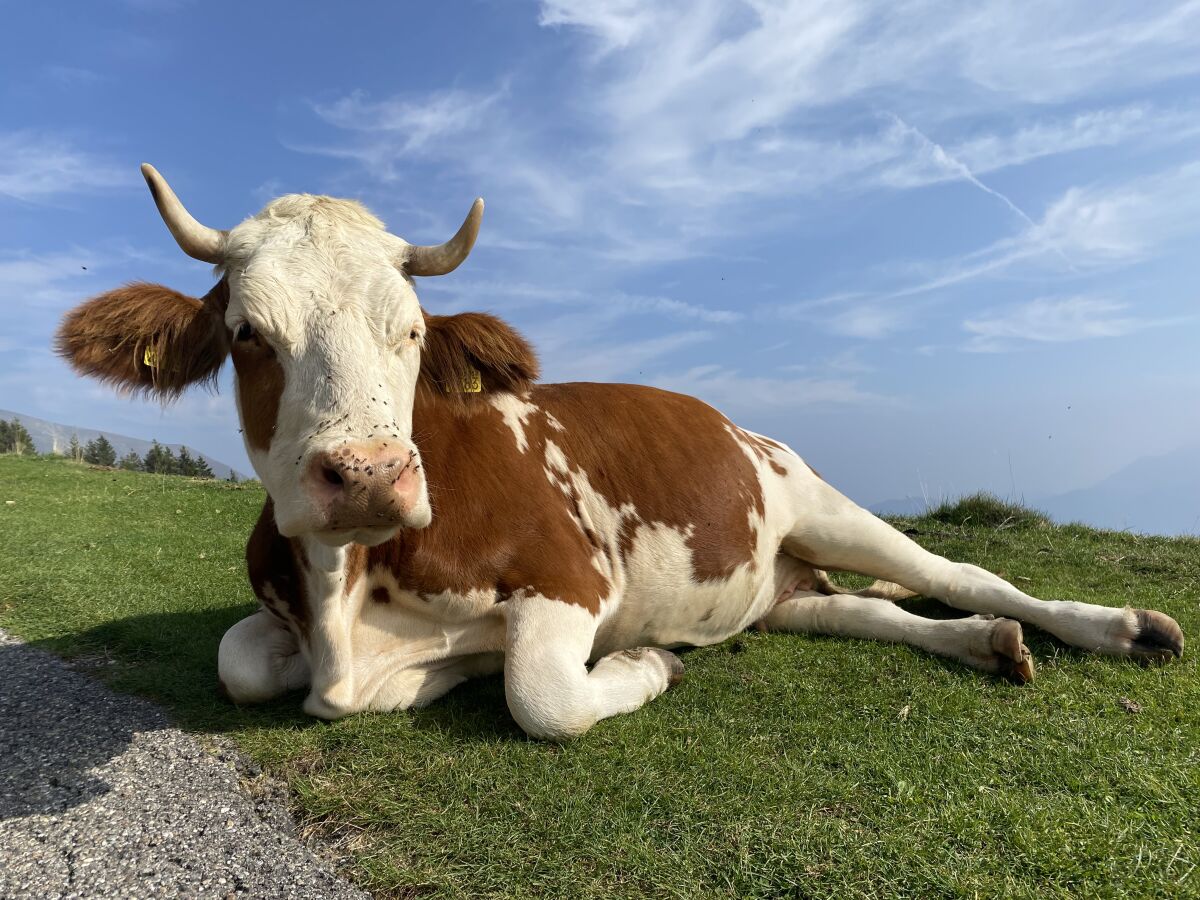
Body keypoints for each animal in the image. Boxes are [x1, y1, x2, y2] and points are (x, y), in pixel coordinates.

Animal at [54, 168, 1180, 739]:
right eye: (248, 334)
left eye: (412, 331)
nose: (369, 475)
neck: (346, 589)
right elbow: (243, 663)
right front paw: (419, 679)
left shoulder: (570, 579)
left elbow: (542, 699)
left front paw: (640, 666)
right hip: (773, 581)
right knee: (856, 612)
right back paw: (983, 645)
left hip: (819, 499)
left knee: (960, 570)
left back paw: (1118, 629)